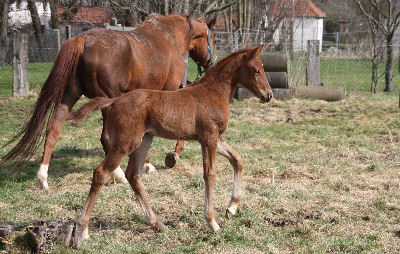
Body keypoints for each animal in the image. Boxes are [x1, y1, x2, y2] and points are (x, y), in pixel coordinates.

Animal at [1, 13, 217, 189]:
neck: (169, 37)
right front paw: (171, 155)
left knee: (53, 130)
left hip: (68, 97)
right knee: (105, 138)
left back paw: (43, 177)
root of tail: (82, 39)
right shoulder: (168, 91)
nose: (212, 61)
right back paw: (118, 174)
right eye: (213, 38)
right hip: (107, 100)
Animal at [67, 45, 274, 248]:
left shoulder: (216, 138)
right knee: (101, 173)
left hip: (144, 140)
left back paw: (157, 224)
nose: (268, 95)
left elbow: (237, 160)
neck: (212, 93)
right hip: (127, 142)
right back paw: (82, 230)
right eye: (256, 70)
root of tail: (114, 101)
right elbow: (210, 175)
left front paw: (231, 209)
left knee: (133, 175)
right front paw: (212, 222)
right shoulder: (208, 138)